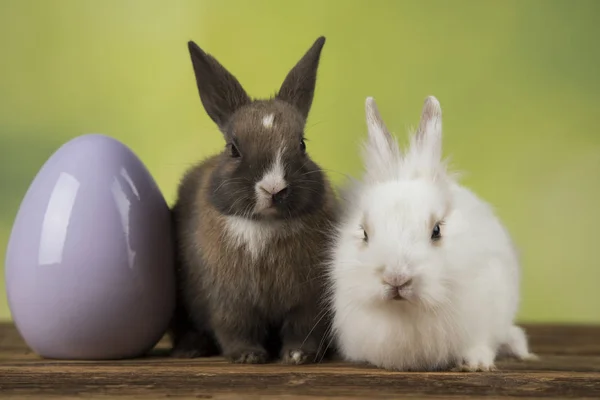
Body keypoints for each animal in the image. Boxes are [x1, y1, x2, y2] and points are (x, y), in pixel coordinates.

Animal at [170, 37, 338, 366]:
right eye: (233, 149)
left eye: (302, 144)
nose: (274, 188)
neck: (265, 225)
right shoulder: (228, 301)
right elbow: (235, 328)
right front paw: (248, 356)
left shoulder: (309, 301)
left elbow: (304, 329)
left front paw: (298, 356)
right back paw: (190, 349)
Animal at [328, 95, 536, 370]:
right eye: (364, 234)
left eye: (436, 230)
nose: (396, 278)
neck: (407, 312)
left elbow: (480, 344)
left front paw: (477, 364)